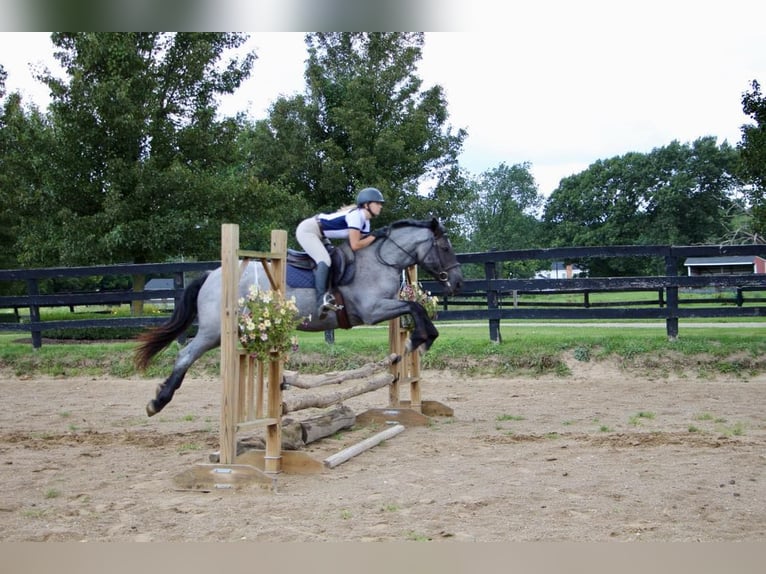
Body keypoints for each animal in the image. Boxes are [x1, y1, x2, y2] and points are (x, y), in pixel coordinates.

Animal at [135, 218, 464, 416]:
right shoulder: (372, 311)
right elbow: (416, 308)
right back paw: (157, 402)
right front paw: (420, 340)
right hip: (214, 330)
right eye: (445, 247)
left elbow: (415, 309)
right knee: (186, 354)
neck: (382, 259)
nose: (458, 282)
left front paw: (419, 340)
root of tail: (212, 274)